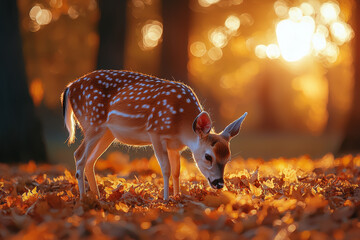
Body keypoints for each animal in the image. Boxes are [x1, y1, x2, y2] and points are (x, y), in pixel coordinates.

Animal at [62, 70, 248, 201]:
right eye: (208, 156)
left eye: (228, 158)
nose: (219, 183)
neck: (181, 125)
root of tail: (69, 87)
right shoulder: (156, 132)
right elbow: (165, 169)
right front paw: (165, 199)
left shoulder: (175, 146)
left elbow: (177, 171)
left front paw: (178, 196)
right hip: (93, 123)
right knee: (79, 155)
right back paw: (83, 199)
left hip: (107, 133)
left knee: (90, 160)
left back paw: (98, 198)